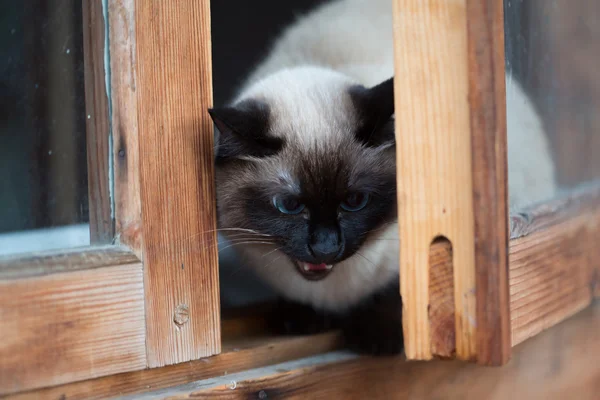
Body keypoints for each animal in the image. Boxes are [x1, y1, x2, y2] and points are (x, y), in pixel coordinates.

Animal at [209, 0, 556, 354]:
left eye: (354, 200)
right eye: (289, 206)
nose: (326, 248)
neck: (333, 292)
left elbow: (396, 293)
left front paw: (377, 339)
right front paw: (302, 320)